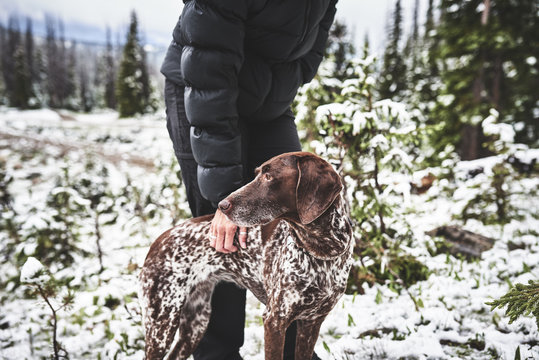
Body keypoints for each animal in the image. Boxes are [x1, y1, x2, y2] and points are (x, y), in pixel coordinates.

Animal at [139, 152, 354, 360]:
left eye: (268, 176)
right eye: (259, 173)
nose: (222, 205)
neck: (322, 251)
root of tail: (159, 240)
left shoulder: (311, 323)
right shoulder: (275, 320)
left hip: (196, 323)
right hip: (162, 323)